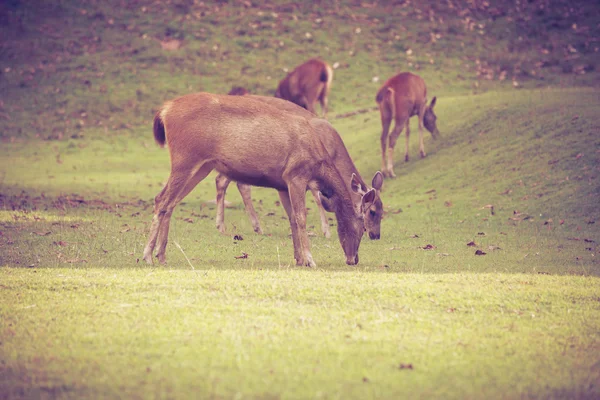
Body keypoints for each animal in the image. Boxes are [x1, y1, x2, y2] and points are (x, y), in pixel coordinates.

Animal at [216, 94, 384, 241]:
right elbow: (317, 198)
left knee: (233, 182)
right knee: (225, 181)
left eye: (383, 211)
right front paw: (326, 232)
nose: (376, 235)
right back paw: (226, 226)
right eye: (372, 212)